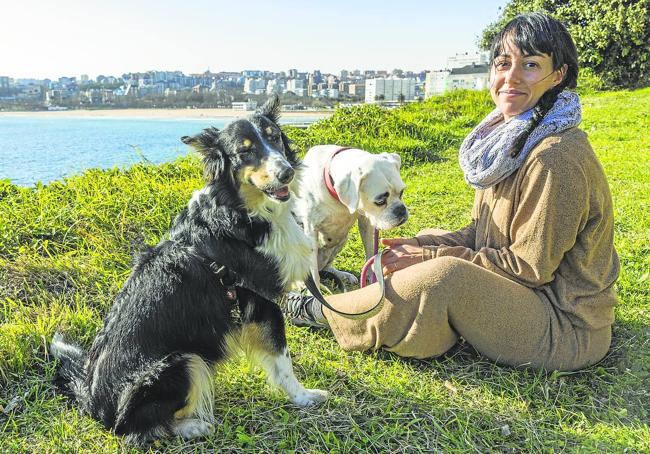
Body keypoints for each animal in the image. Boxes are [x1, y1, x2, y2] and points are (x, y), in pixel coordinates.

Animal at [49, 94, 330, 446]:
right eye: (245, 151)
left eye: (275, 137)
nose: (287, 173)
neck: (240, 212)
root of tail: (93, 403)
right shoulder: (261, 300)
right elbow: (283, 362)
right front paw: (304, 397)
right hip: (181, 361)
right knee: (134, 430)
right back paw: (193, 426)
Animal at [292, 145, 404, 286]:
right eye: (380, 201)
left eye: (402, 192)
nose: (400, 210)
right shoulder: (311, 231)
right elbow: (313, 274)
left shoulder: (366, 223)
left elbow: (370, 252)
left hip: (340, 241)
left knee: (326, 267)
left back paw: (342, 275)